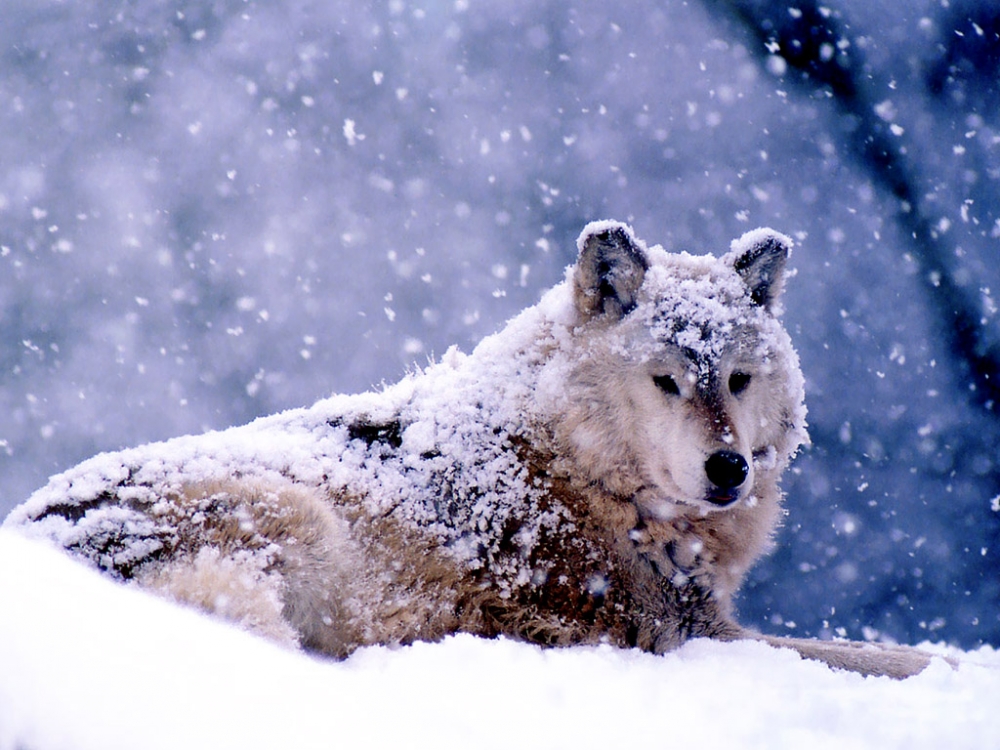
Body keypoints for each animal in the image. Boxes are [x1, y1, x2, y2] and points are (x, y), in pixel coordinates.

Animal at [1, 220, 936, 680]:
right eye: (668, 381)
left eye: (738, 380)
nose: (729, 468)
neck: (577, 465)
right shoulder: (681, 633)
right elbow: (890, 657)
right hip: (287, 512)